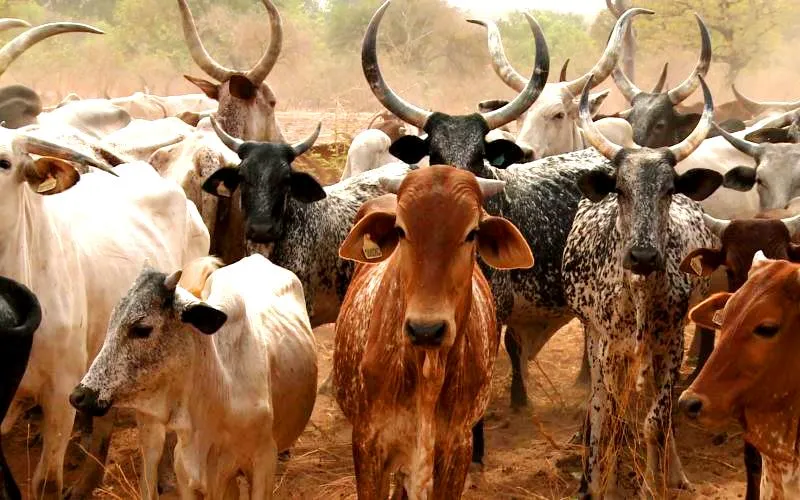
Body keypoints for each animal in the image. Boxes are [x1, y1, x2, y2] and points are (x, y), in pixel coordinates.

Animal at [561, 75, 722, 497]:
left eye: (669, 190)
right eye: (621, 189)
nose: (644, 256)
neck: (638, 290)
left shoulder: (671, 342)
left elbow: (656, 420)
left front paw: (654, 484)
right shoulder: (607, 347)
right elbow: (609, 418)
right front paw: (600, 485)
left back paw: (675, 471)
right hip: (596, 339)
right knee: (604, 405)